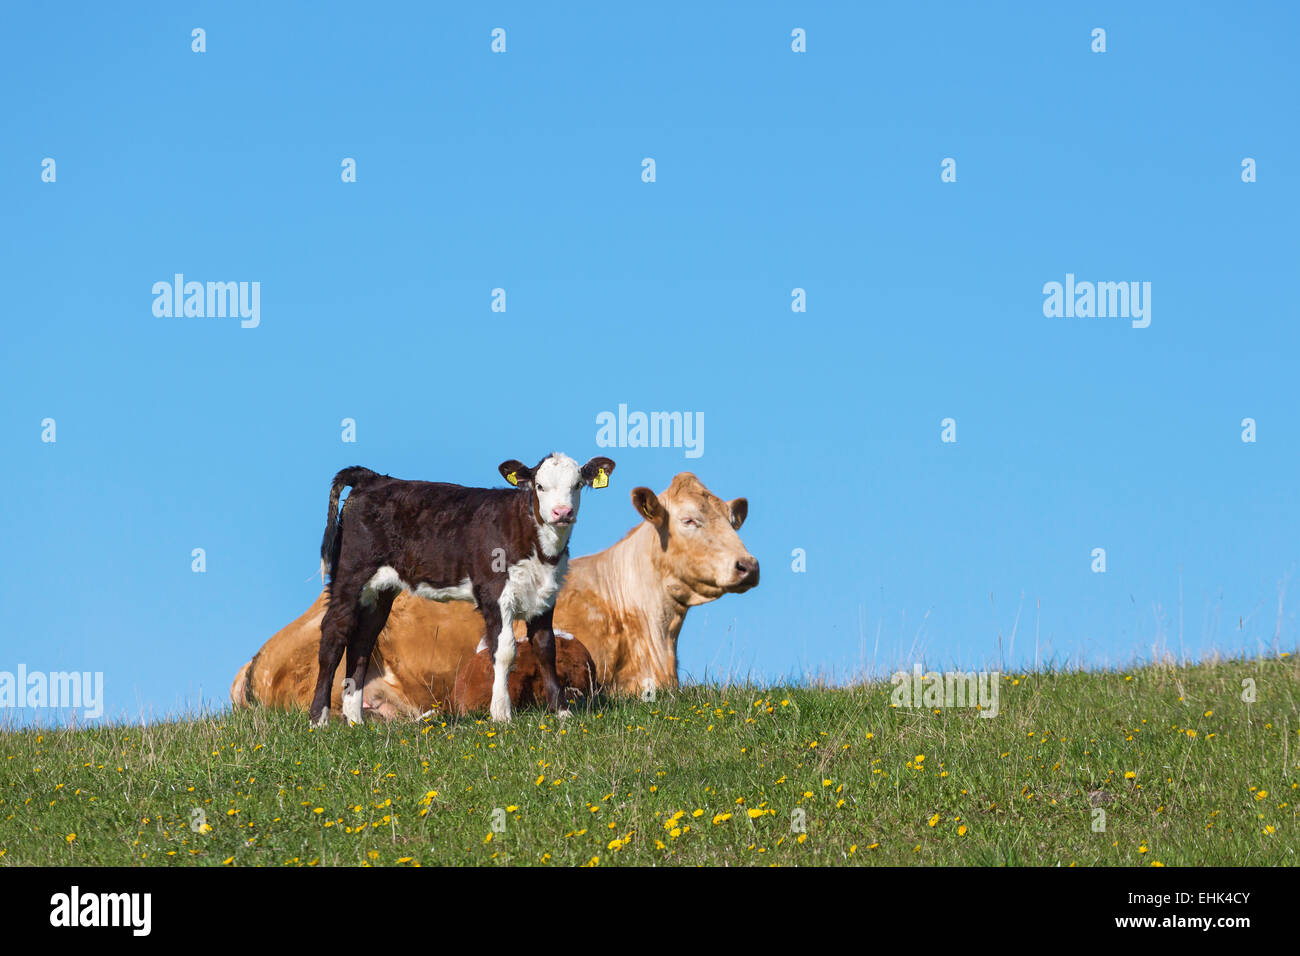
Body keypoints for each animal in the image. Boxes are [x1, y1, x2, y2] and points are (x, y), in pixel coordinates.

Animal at [308, 453, 615, 726]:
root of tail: (373, 479)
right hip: (350, 574)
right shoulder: (494, 592)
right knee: (334, 635)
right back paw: (319, 718)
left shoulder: (546, 594)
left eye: (577, 484)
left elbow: (546, 647)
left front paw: (561, 711)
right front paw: (501, 714)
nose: (562, 513)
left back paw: (355, 719)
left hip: (380, 592)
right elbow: (505, 650)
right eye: (539, 486)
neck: (539, 547)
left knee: (362, 641)